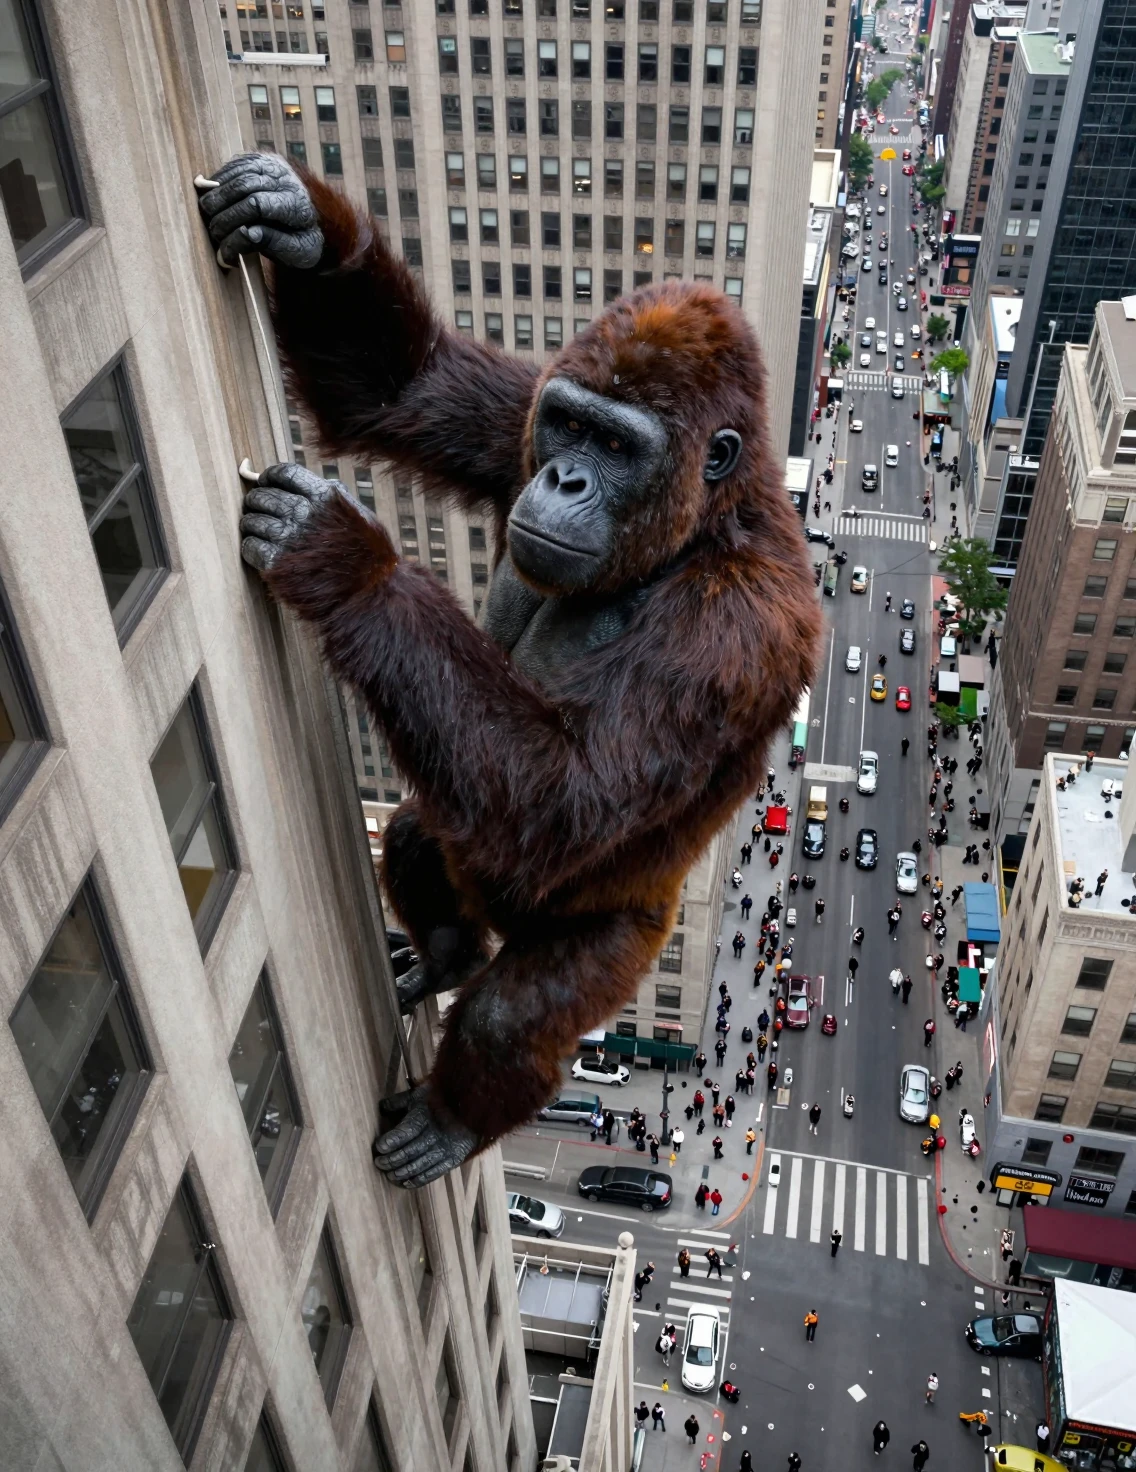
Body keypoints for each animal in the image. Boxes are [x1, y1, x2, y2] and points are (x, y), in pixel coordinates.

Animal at [199, 154, 822, 1187]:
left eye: (617, 447)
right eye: (571, 428)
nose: (563, 481)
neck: (705, 521)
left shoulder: (734, 630)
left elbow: (560, 800)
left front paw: (349, 562)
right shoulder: (523, 413)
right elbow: (398, 390)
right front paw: (300, 225)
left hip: (627, 936)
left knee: (513, 1011)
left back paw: (457, 1111)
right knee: (423, 831)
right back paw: (447, 951)